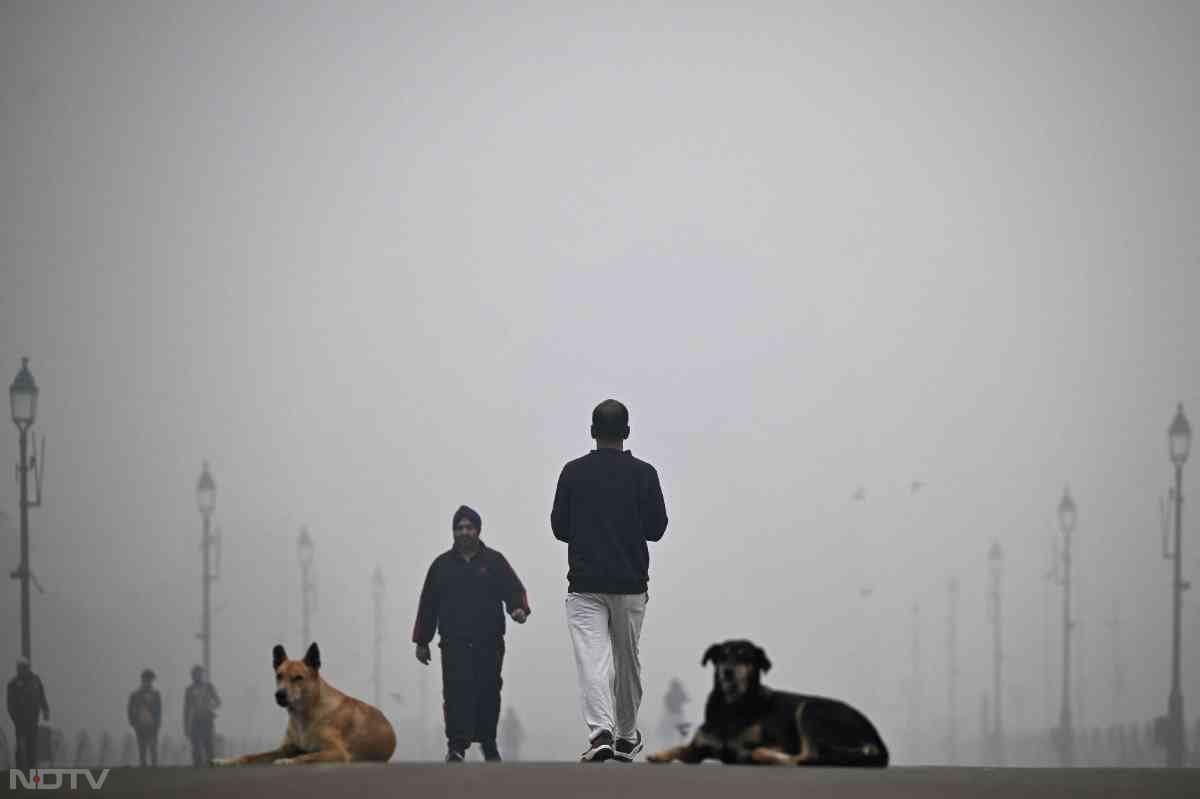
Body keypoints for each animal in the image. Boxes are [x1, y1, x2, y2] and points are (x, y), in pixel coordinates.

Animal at [207, 638, 393, 763]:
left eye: (298, 678)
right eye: (279, 676)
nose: (280, 694)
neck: (304, 715)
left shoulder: (337, 752)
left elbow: (307, 756)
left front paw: (288, 761)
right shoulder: (285, 748)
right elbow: (251, 755)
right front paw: (226, 760)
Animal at [652, 633, 888, 767]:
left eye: (744, 655)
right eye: (722, 656)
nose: (727, 672)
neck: (731, 707)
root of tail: (878, 740)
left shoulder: (778, 743)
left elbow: (755, 750)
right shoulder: (700, 747)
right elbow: (680, 748)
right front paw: (659, 754)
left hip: (811, 710)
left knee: (808, 756)